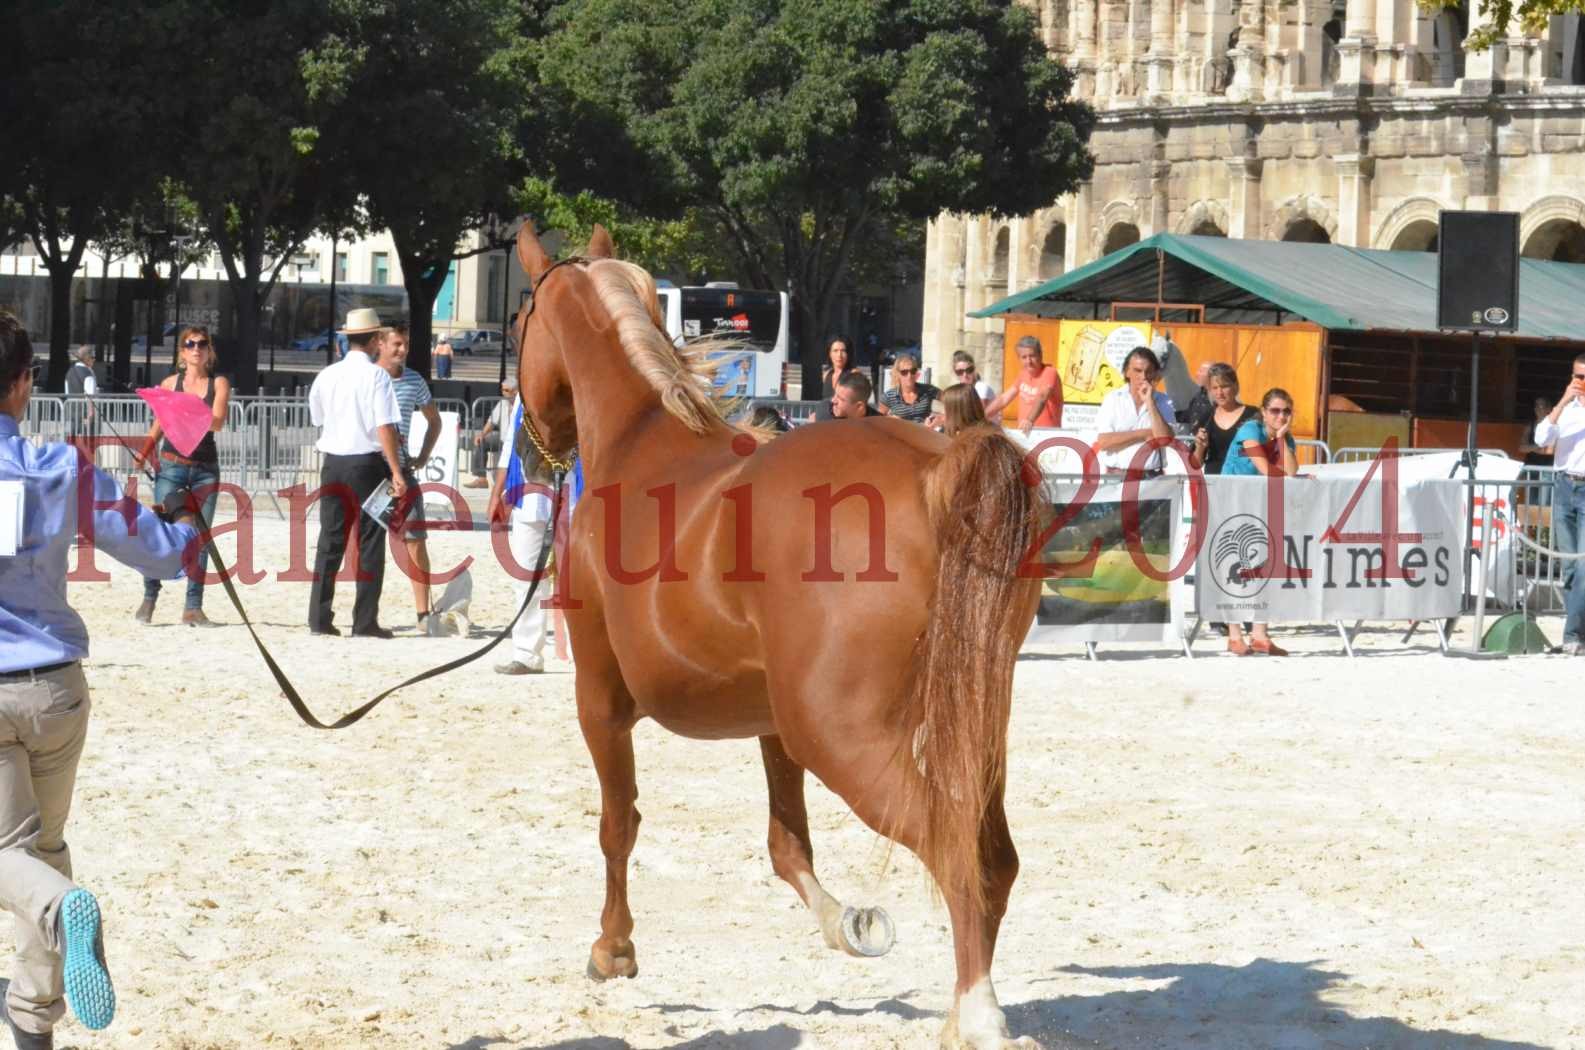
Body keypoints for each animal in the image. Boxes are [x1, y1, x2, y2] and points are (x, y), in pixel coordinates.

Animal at [510, 223, 1052, 1050]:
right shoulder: (772, 724)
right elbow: (785, 842)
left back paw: (979, 1013)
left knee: (952, 847)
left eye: (520, 320)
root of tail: (938, 467)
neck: (641, 442)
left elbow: (618, 823)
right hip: (964, 725)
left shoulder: (599, 700)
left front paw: (613, 950)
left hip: (842, 737)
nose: (525, 449)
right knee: (991, 854)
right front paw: (849, 924)